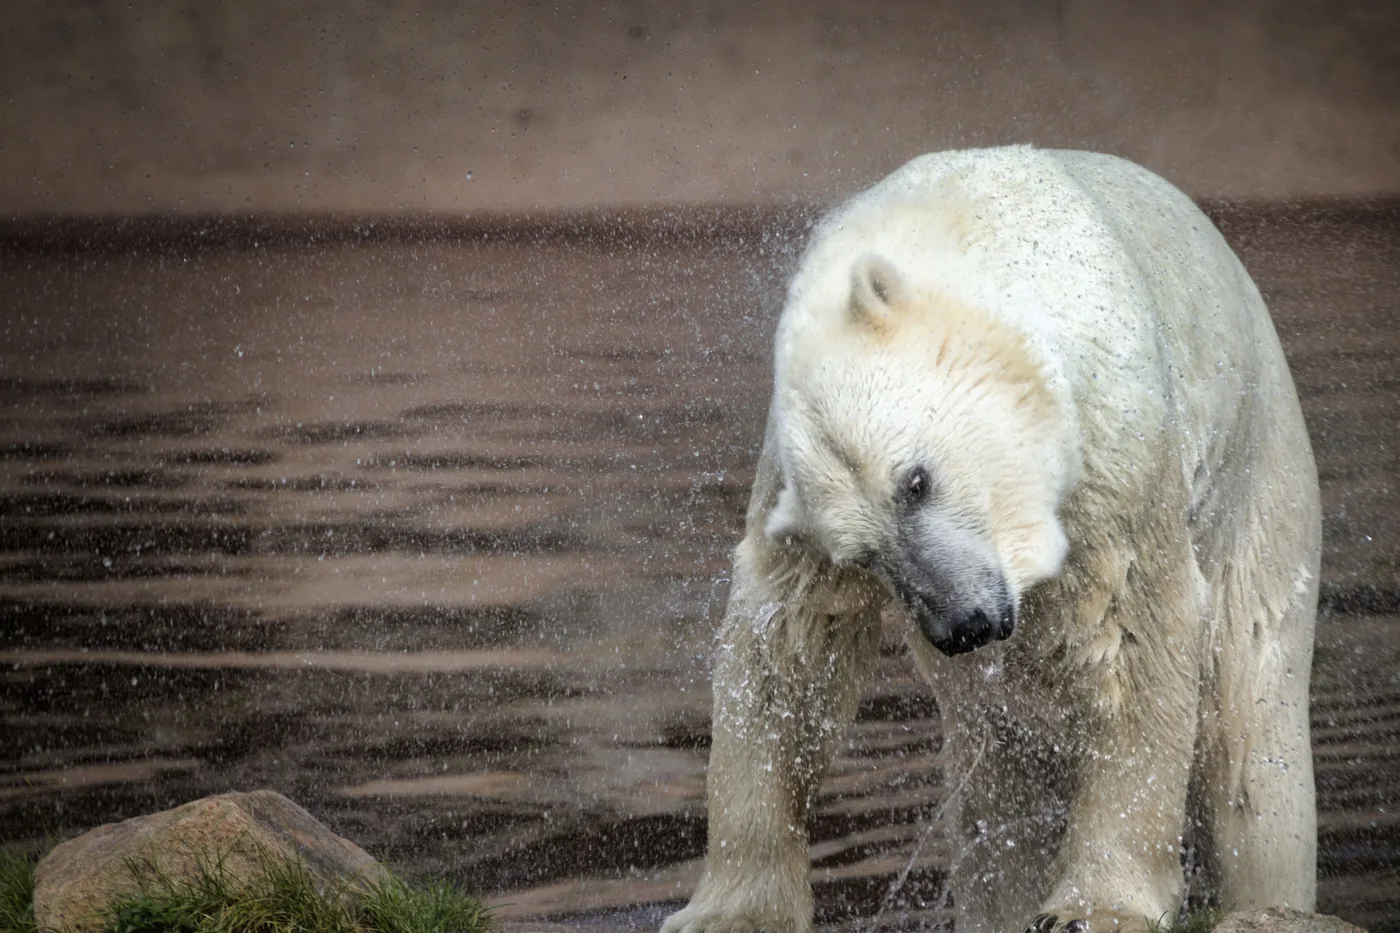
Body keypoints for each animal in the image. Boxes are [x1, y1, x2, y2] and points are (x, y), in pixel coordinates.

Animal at [660, 146, 1320, 933]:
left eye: (916, 480)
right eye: (863, 555)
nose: (964, 624)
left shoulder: (1118, 450)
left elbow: (1133, 631)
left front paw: (1095, 906)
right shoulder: (785, 467)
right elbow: (791, 643)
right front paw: (730, 910)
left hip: (1264, 492)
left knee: (1252, 745)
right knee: (999, 793)